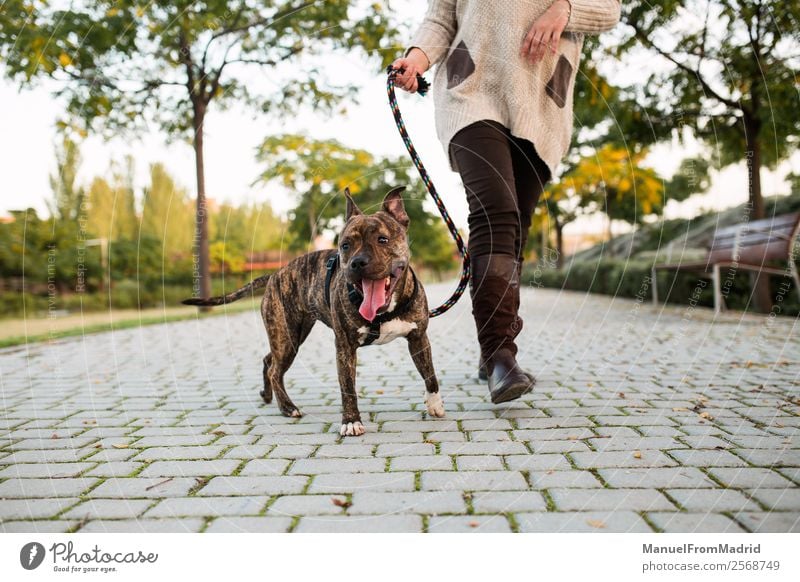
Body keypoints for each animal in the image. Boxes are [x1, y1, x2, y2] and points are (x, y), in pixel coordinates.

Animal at [182, 188, 444, 438]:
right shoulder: (345, 347)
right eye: (345, 245)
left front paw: (434, 404)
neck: (384, 310)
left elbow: (430, 373)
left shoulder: (418, 337)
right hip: (287, 336)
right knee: (276, 369)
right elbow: (348, 387)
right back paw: (287, 407)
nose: (357, 262)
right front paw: (351, 422)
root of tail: (275, 274)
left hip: (291, 334)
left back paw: (267, 395)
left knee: (269, 360)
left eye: (383, 239)